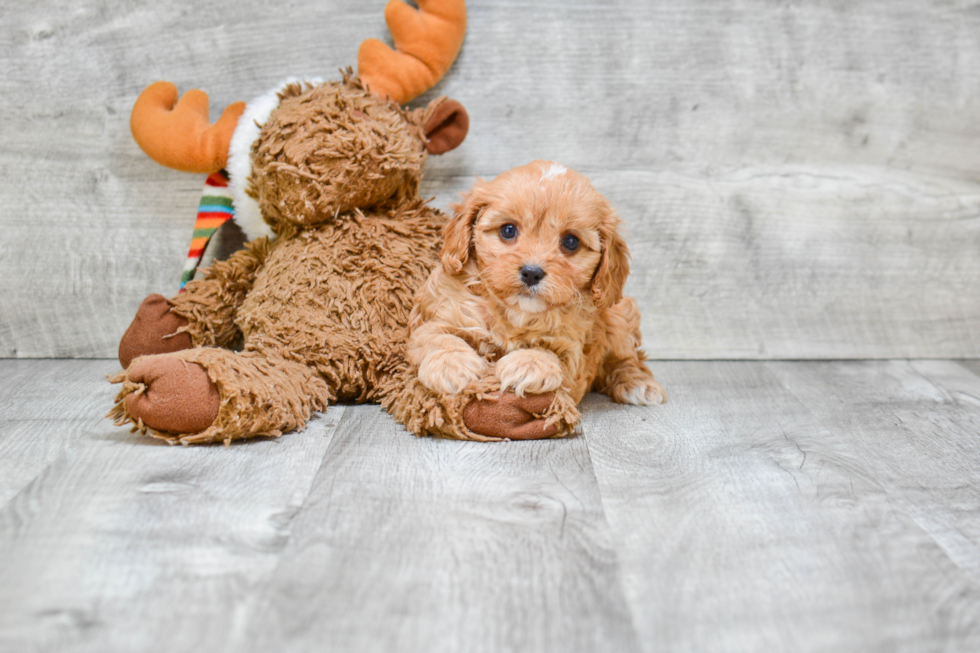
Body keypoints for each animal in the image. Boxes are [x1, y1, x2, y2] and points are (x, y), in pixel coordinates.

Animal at [406, 160, 668, 428]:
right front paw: (452, 365)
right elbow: (437, 336)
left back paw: (637, 383)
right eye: (508, 230)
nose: (532, 273)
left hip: (620, 316)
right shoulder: (438, 314)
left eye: (571, 242)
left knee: (628, 357)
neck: (514, 311)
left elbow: (551, 353)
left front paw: (527, 364)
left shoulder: (573, 349)